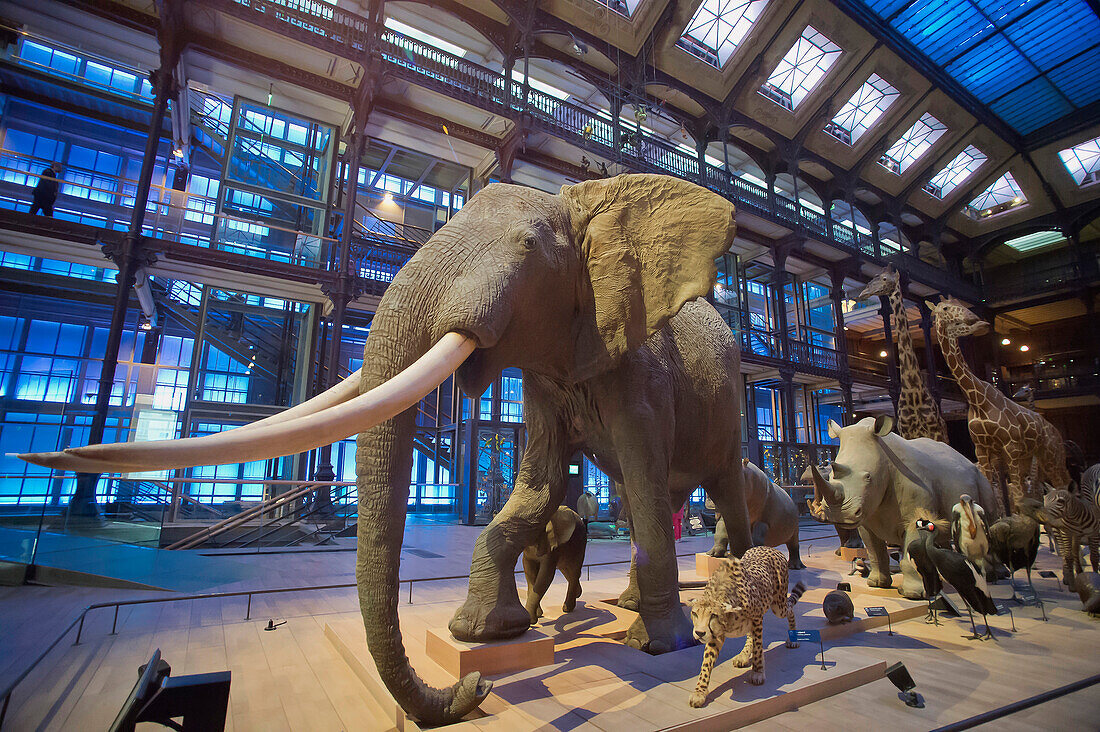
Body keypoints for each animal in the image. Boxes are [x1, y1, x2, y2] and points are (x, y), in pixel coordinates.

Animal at [21, 172, 748, 726]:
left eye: (527, 248)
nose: (475, 690)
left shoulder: (638, 373)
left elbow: (641, 478)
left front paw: (659, 646)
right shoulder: (549, 377)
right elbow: (535, 488)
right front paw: (481, 634)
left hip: (731, 403)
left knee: (716, 486)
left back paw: (733, 592)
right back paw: (628, 602)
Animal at [690, 545, 805, 704]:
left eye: (713, 615)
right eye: (695, 614)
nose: (699, 633)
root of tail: (768, 547)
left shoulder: (757, 618)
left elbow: (758, 647)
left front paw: (757, 672)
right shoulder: (715, 635)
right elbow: (707, 662)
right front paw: (700, 691)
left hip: (778, 605)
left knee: (789, 608)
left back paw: (793, 638)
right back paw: (743, 655)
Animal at [805, 413, 1003, 598]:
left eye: (868, 477)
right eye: (831, 476)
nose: (840, 514)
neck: (883, 457)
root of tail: (966, 459)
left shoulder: (915, 514)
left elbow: (909, 552)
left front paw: (913, 594)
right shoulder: (865, 518)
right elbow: (874, 551)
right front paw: (877, 583)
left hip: (982, 479)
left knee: (989, 518)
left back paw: (994, 577)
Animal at [862, 265, 950, 442]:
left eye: (884, 278)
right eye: (875, 276)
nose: (864, 291)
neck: (912, 389)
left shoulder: (933, 432)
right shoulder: (906, 432)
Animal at [924, 297, 1069, 512]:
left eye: (962, 305)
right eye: (945, 308)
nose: (979, 321)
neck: (977, 400)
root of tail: (1055, 430)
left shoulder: (1010, 447)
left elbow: (1017, 497)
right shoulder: (983, 449)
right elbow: (998, 495)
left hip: (1051, 455)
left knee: (1060, 486)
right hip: (1033, 458)